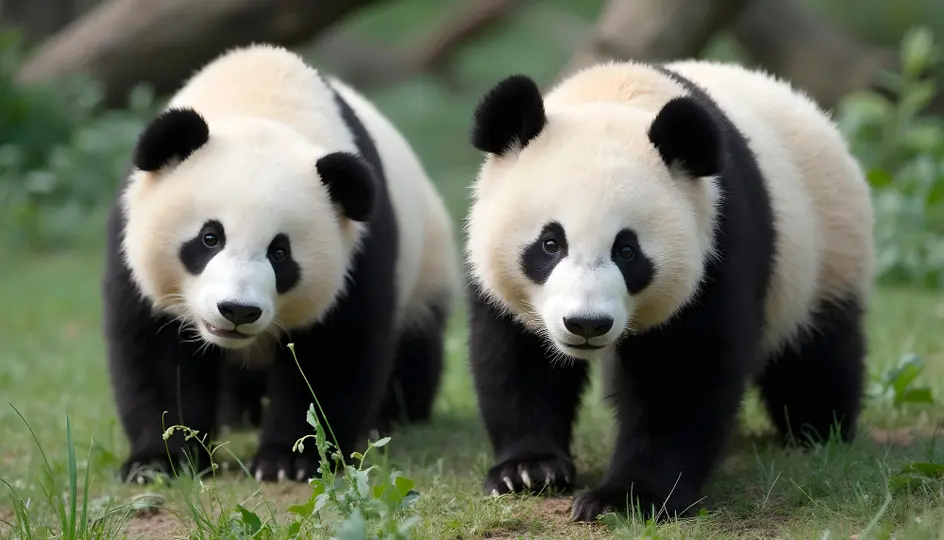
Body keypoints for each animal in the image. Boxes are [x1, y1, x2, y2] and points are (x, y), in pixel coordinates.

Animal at [102, 43, 460, 483]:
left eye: (280, 252)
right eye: (210, 238)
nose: (238, 311)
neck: (260, 98)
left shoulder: (359, 248)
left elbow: (331, 352)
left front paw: (289, 461)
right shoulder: (132, 237)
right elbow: (158, 353)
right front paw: (159, 462)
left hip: (426, 262)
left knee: (415, 347)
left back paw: (389, 416)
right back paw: (238, 415)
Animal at [464, 59, 874, 522]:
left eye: (627, 251)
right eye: (551, 244)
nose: (587, 324)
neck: (612, 94)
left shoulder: (716, 239)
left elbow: (683, 373)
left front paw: (628, 497)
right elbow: (516, 358)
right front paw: (528, 471)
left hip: (825, 253)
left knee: (816, 354)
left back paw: (817, 429)